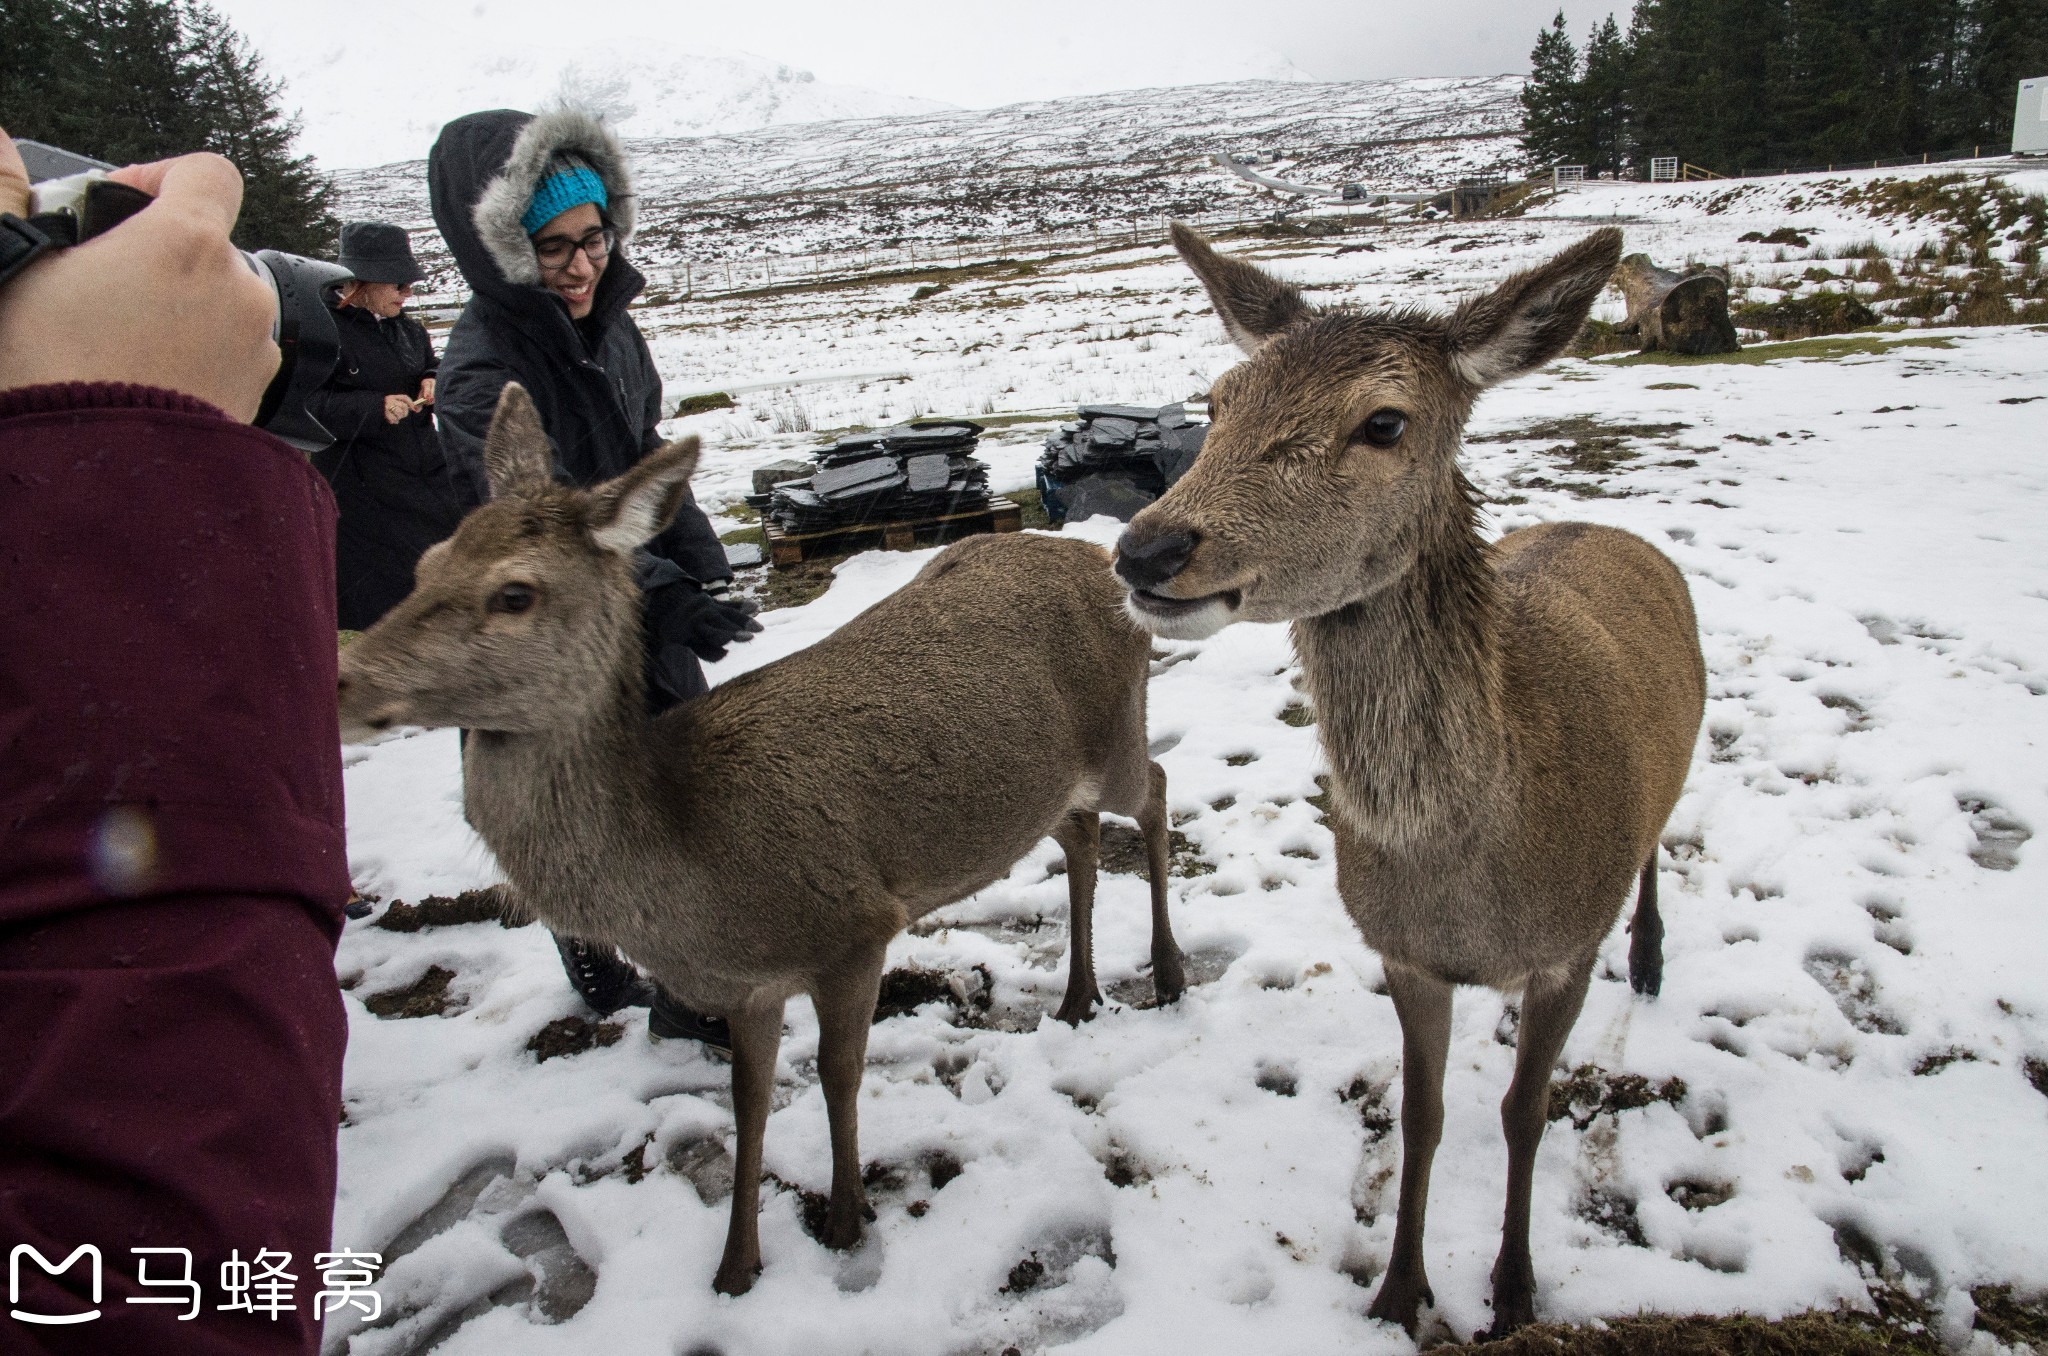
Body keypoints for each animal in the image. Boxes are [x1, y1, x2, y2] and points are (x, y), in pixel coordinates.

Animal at [335, 387, 1187, 1302]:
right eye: (427, 563)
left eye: (516, 592)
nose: (347, 679)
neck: (698, 879)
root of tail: (1103, 564)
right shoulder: (746, 988)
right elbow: (749, 1100)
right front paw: (736, 1265)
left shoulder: (854, 926)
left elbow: (838, 1075)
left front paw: (847, 1219)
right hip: (1051, 783)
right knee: (1080, 836)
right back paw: (1077, 995)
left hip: (1117, 731)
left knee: (1156, 791)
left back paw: (1167, 976)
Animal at [1114, 228, 1703, 1343]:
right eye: (1217, 399)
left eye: (1383, 422)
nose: (1146, 547)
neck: (1472, 875)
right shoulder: (1401, 951)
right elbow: (1421, 1114)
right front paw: (1397, 1288)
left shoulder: (1566, 948)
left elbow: (1525, 1111)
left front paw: (1511, 1291)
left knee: (1659, 838)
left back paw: (1652, 957)